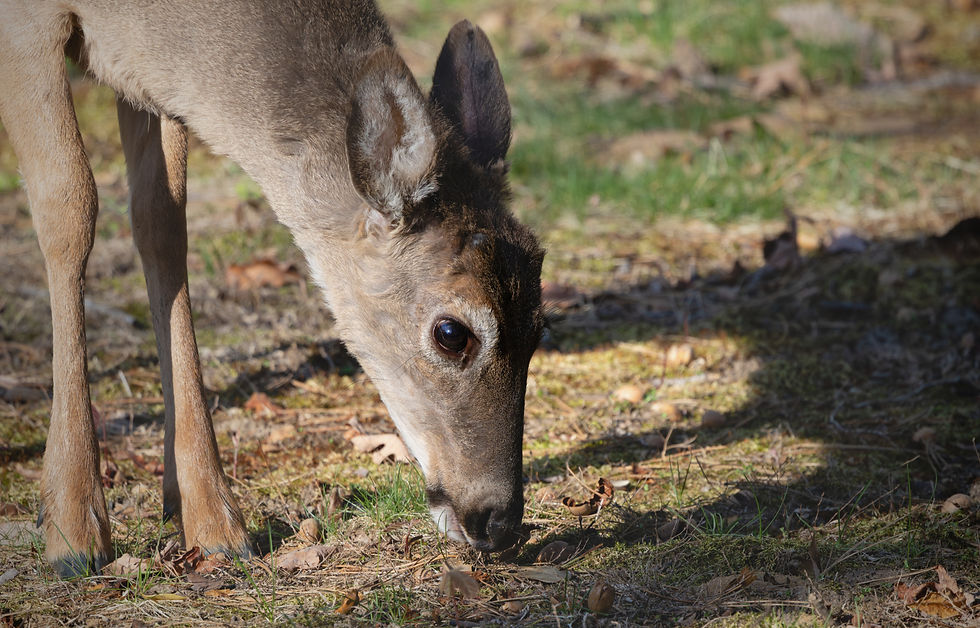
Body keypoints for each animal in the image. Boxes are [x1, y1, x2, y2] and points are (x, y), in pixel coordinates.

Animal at [0, 0, 544, 578]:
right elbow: (69, 205)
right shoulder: (30, 22)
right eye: (451, 332)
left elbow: (161, 221)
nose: (499, 521)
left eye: (540, 327)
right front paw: (72, 530)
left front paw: (211, 519)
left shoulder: (142, 67)